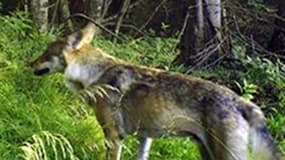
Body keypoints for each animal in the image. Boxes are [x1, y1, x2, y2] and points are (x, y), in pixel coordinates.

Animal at [31, 22, 282, 160]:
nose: (29, 63)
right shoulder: (145, 137)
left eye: (45, 52)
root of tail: (243, 102)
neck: (95, 73)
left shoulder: (113, 136)